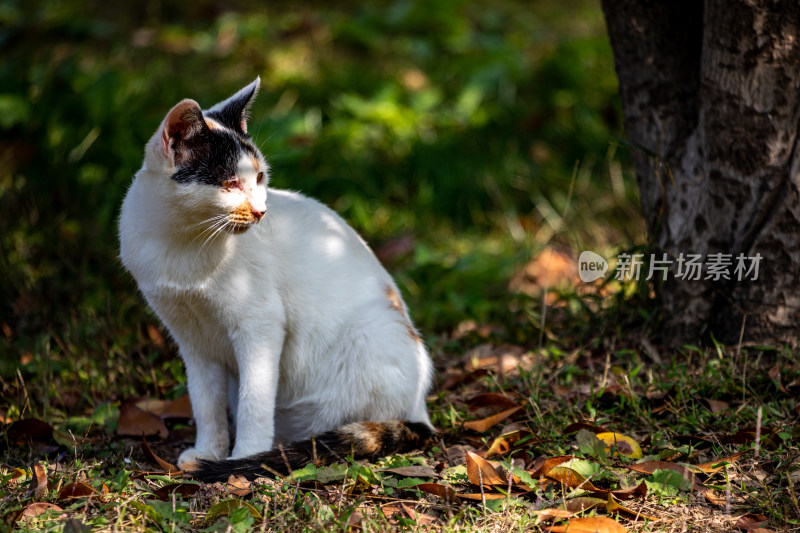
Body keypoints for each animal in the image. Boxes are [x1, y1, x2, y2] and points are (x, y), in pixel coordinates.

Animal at [117, 79, 432, 482]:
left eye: (260, 178)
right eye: (230, 183)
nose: (261, 211)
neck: (184, 242)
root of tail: (421, 409)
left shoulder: (261, 325)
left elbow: (255, 398)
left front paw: (241, 459)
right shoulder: (191, 337)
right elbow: (204, 401)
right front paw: (209, 451)